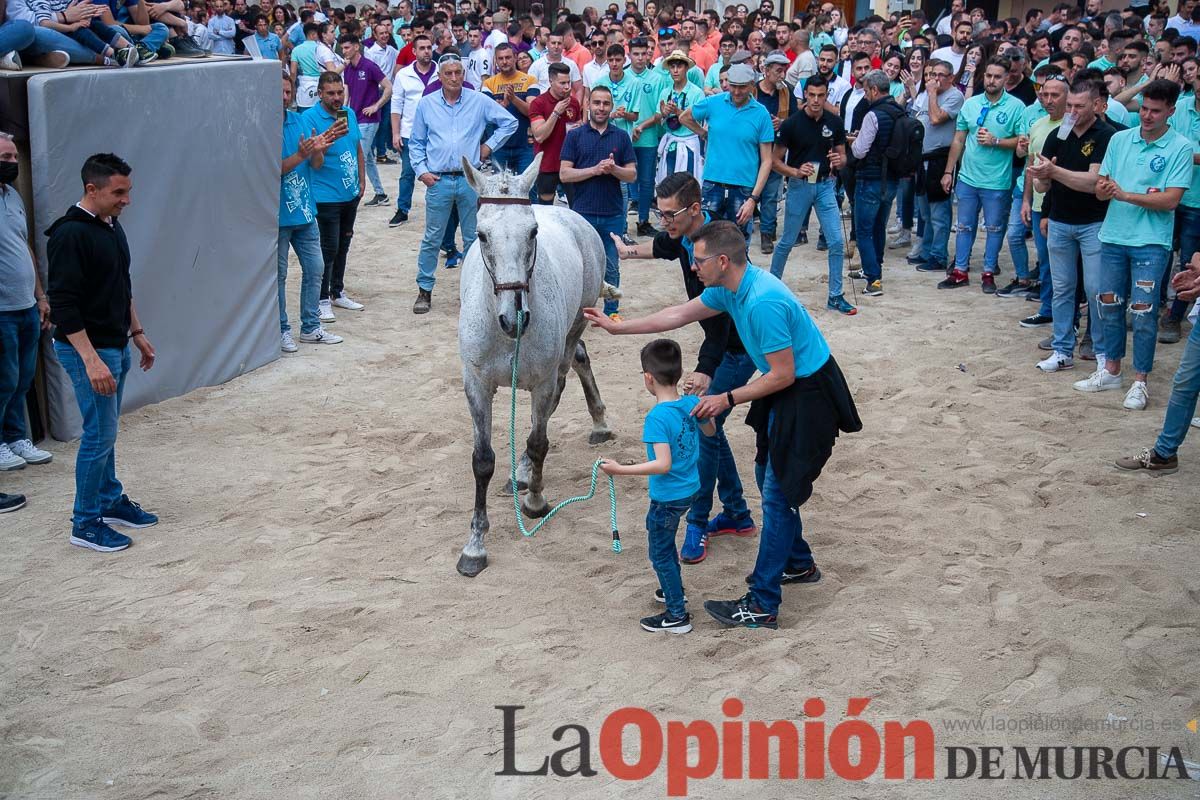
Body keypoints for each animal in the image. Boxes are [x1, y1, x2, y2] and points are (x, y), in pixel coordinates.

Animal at [453, 153, 614, 578]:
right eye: (481, 235)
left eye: (532, 232)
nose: (515, 318)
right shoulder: (476, 385)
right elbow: (482, 461)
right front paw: (475, 546)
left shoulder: (541, 382)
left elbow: (539, 441)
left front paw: (537, 501)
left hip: (574, 328)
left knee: (568, 370)